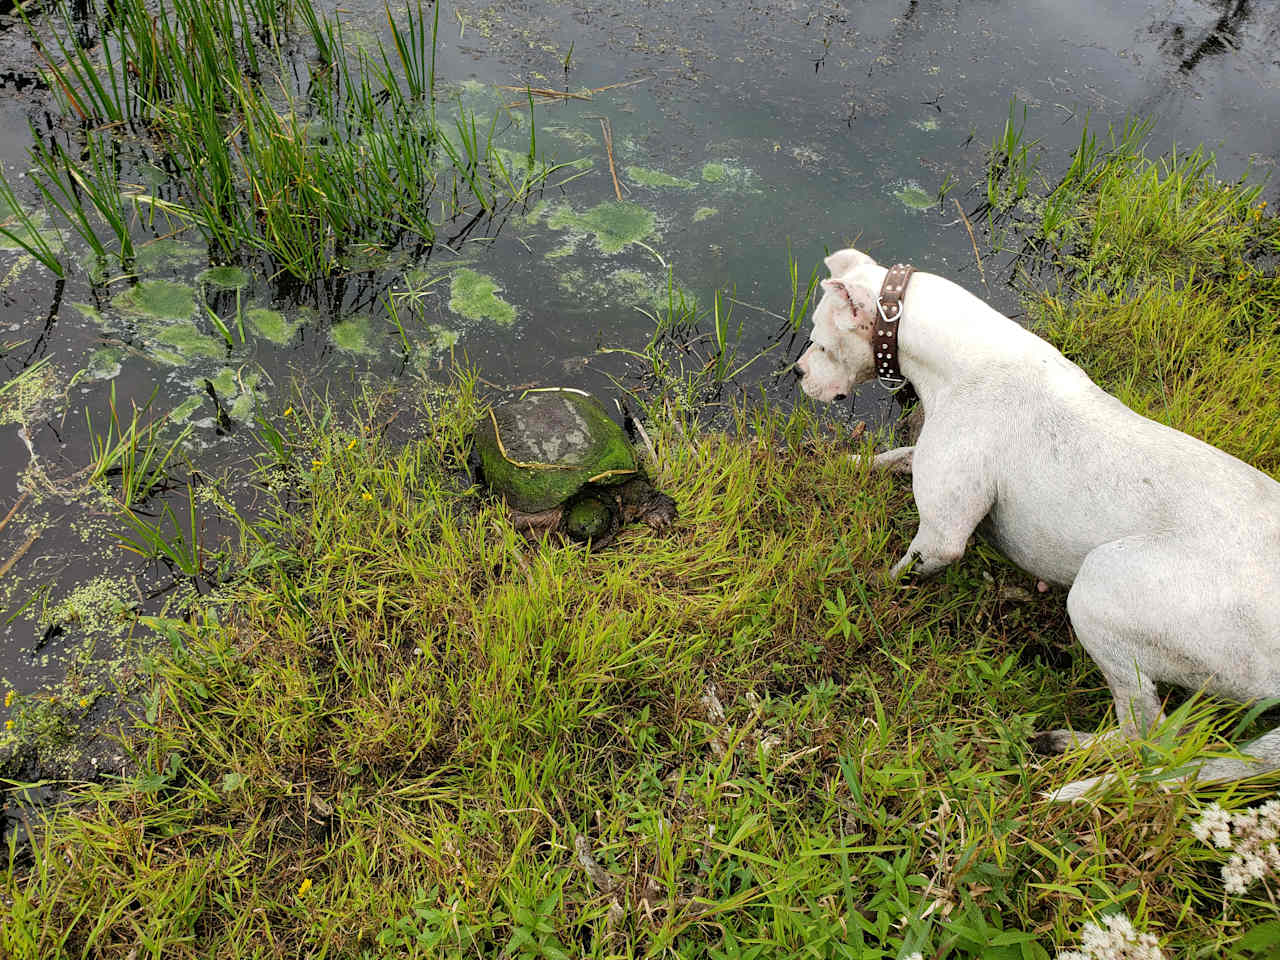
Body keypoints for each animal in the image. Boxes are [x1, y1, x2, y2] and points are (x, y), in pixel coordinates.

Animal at [793, 249, 1274, 803]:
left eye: (820, 340)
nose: (797, 371)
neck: (959, 355)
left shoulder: (942, 535)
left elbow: (899, 573)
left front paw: (865, 595)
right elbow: (892, 456)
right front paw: (846, 463)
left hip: (1101, 589)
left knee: (1143, 732)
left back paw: (1070, 755)